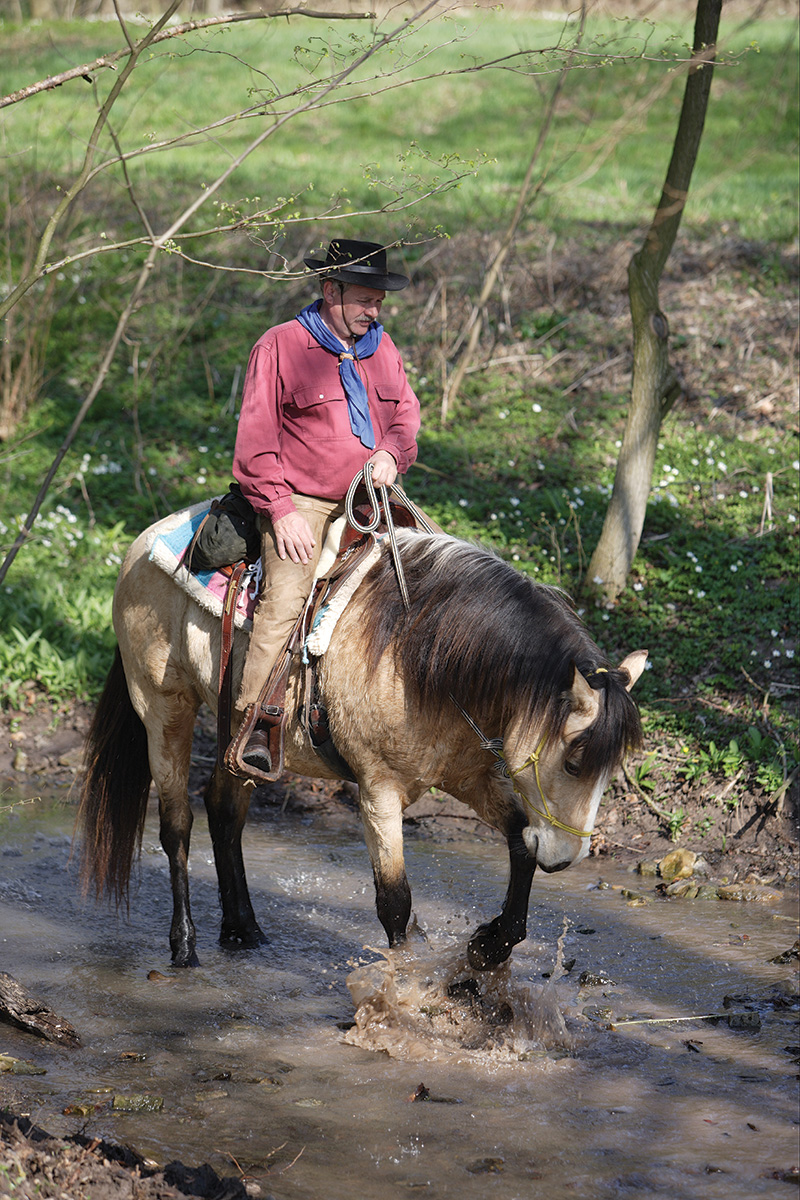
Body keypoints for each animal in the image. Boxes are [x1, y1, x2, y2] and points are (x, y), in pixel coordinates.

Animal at [77, 518, 647, 974]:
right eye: (574, 760)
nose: (566, 859)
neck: (420, 653)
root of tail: (142, 542)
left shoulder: (470, 779)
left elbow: (520, 847)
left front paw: (490, 946)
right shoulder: (378, 791)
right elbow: (394, 900)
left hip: (233, 731)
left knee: (223, 811)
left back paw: (243, 930)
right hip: (164, 709)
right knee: (177, 826)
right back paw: (185, 945)